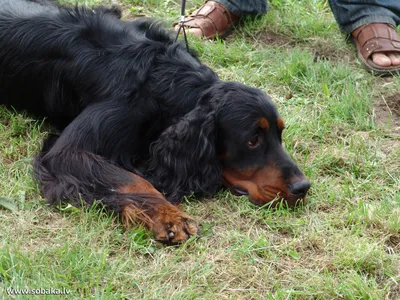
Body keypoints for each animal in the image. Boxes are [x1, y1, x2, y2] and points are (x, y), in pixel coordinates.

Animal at [0, 0, 310, 244]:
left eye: (280, 134)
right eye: (252, 140)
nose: (302, 187)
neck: (164, 77)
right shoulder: (69, 151)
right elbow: (132, 180)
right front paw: (170, 216)